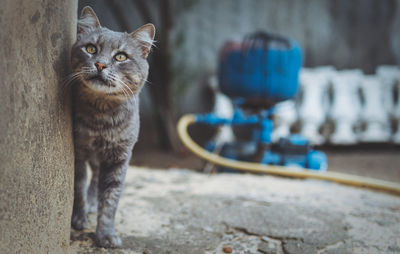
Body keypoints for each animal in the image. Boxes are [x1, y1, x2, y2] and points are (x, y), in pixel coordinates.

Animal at [70, 6, 155, 248]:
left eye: (121, 56)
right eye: (91, 48)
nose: (100, 64)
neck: (102, 117)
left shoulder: (118, 158)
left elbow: (109, 201)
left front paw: (106, 235)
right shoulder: (79, 152)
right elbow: (78, 187)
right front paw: (78, 218)